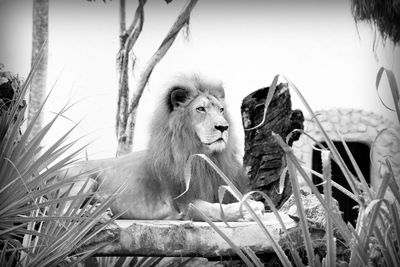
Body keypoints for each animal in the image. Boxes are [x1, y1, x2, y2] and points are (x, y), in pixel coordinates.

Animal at [59, 74, 264, 222]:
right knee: (61, 212)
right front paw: (250, 209)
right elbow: (212, 209)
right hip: (84, 181)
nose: (223, 127)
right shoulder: (182, 204)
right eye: (201, 109)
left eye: (221, 110)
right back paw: (92, 213)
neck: (201, 155)